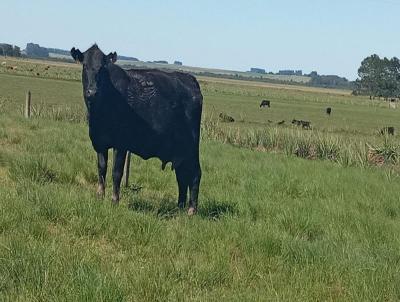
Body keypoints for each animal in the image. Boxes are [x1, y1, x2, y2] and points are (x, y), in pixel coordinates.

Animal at [70, 44, 203, 215]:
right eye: (85, 65)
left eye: (102, 68)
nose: (92, 92)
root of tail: (190, 80)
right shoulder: (99, 142)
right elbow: (101, 169)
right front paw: (100, 196)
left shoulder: (121, 144)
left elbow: (116, 172)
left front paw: (114, 200)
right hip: (179, 152)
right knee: (182, 176)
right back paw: (179, 207)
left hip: (191, 148)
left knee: (195, 174)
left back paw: (192, 210)